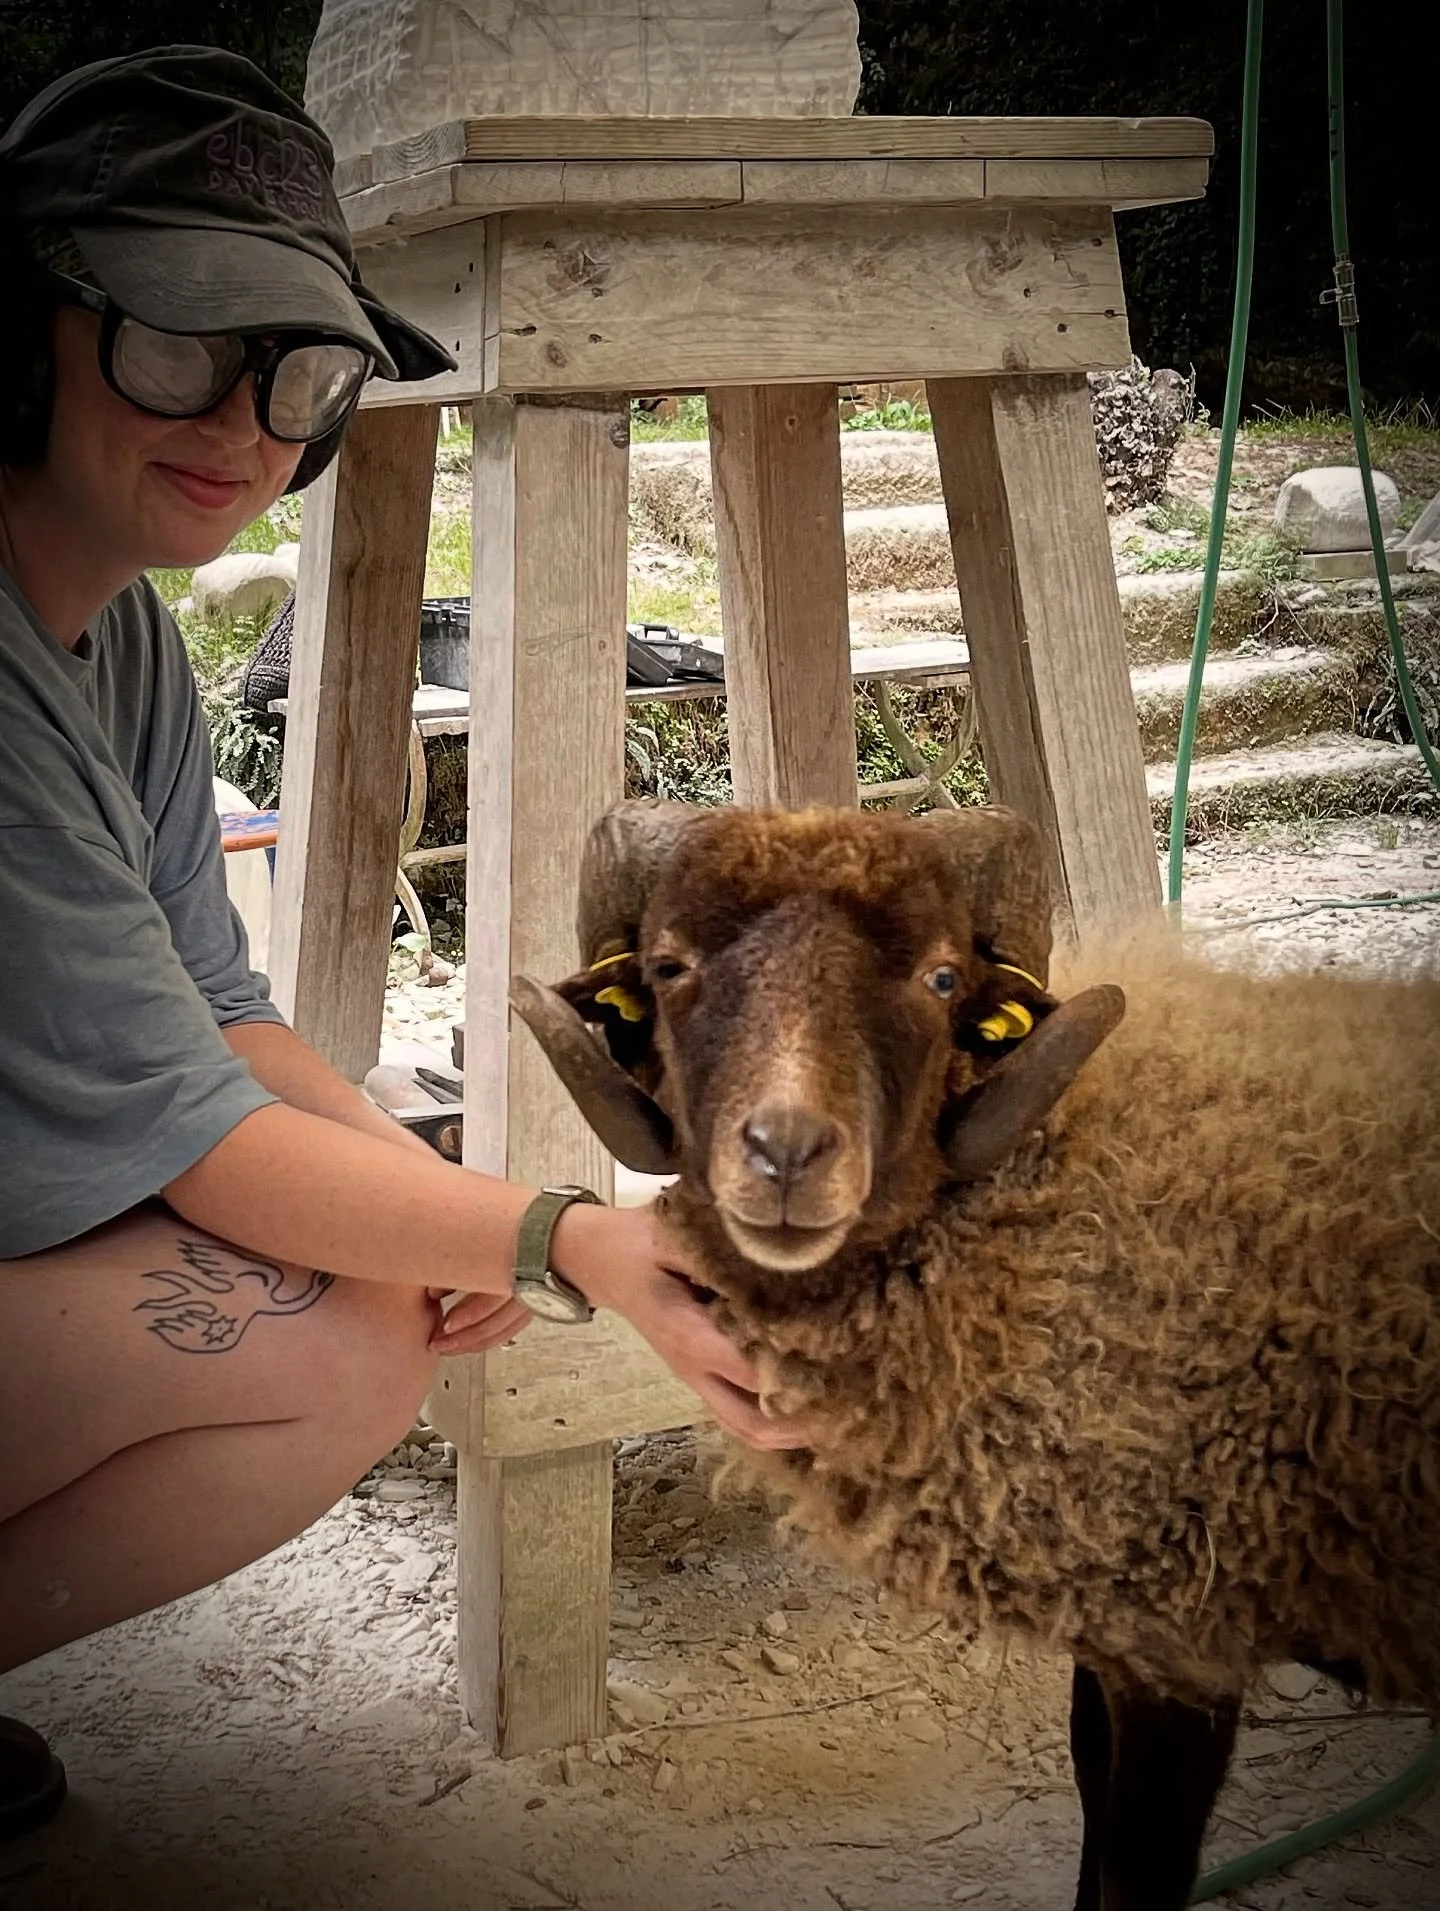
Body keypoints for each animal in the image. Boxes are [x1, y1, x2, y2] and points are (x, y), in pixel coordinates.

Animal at [511, 798, 1440, 1911]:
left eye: (944, 978)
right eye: (666, 964)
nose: (785, 1155)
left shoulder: (1187, 1641)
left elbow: (1131, 1867)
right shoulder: (1117, 1630)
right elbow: (1088, 1793)